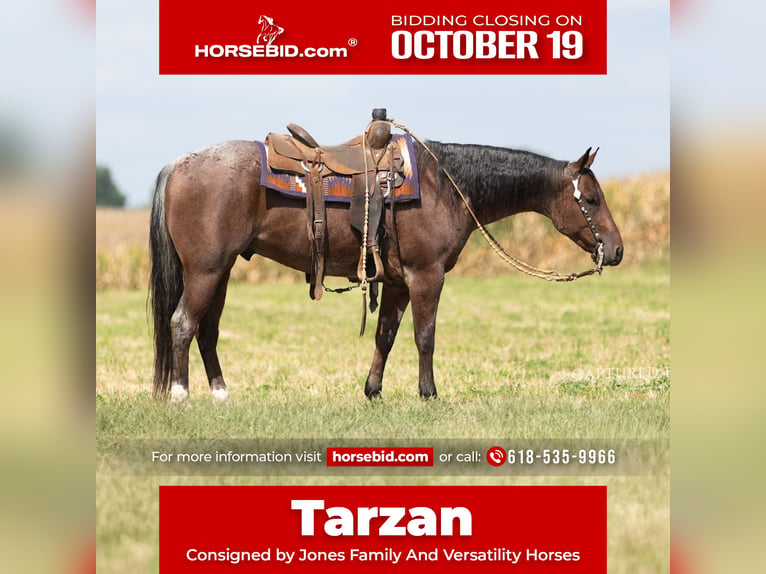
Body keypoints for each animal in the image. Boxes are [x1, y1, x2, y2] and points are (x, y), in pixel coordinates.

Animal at [149, 137, 623, 402]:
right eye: (592, 199)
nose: (617, 250)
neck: (444, 186)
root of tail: (179, 163)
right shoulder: (426, 276)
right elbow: (425, 337)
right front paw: (429, 394)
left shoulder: (397, 282)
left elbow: (386, 337)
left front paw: (372, 391)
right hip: (206, 271)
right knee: (182, 324)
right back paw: (180, 395)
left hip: (221, 272)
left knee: (207, 331)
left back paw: (220, 394)